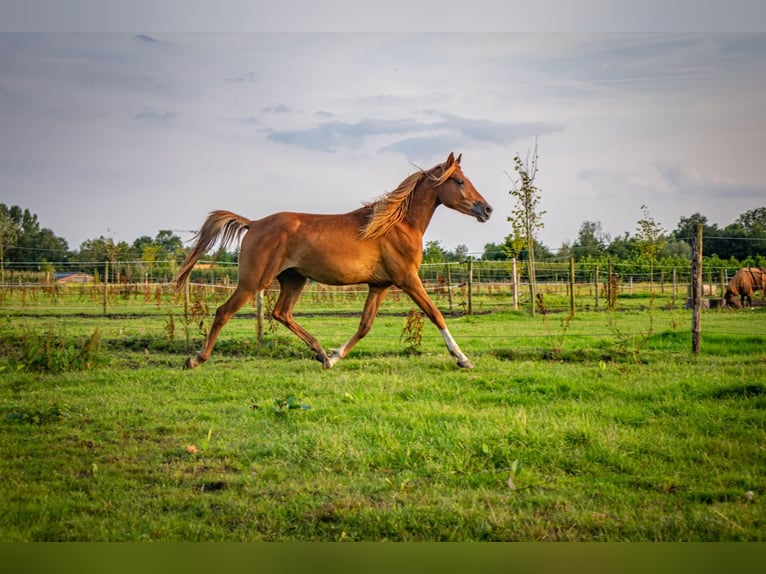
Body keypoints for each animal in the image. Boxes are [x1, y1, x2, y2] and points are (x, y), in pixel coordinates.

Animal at [175, 151, 496, 372]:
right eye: (459, 181)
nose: (487, 210)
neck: (397, 225)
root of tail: (253, 224)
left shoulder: (379, 286)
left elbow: (364, 326)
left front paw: (334, 357)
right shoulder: (407, 279)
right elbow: (435, 314)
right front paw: (463, 359)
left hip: (294, 279)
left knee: (281, 313)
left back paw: (320, 353)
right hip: (253, 282)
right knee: (223, 312)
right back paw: (196, 359)